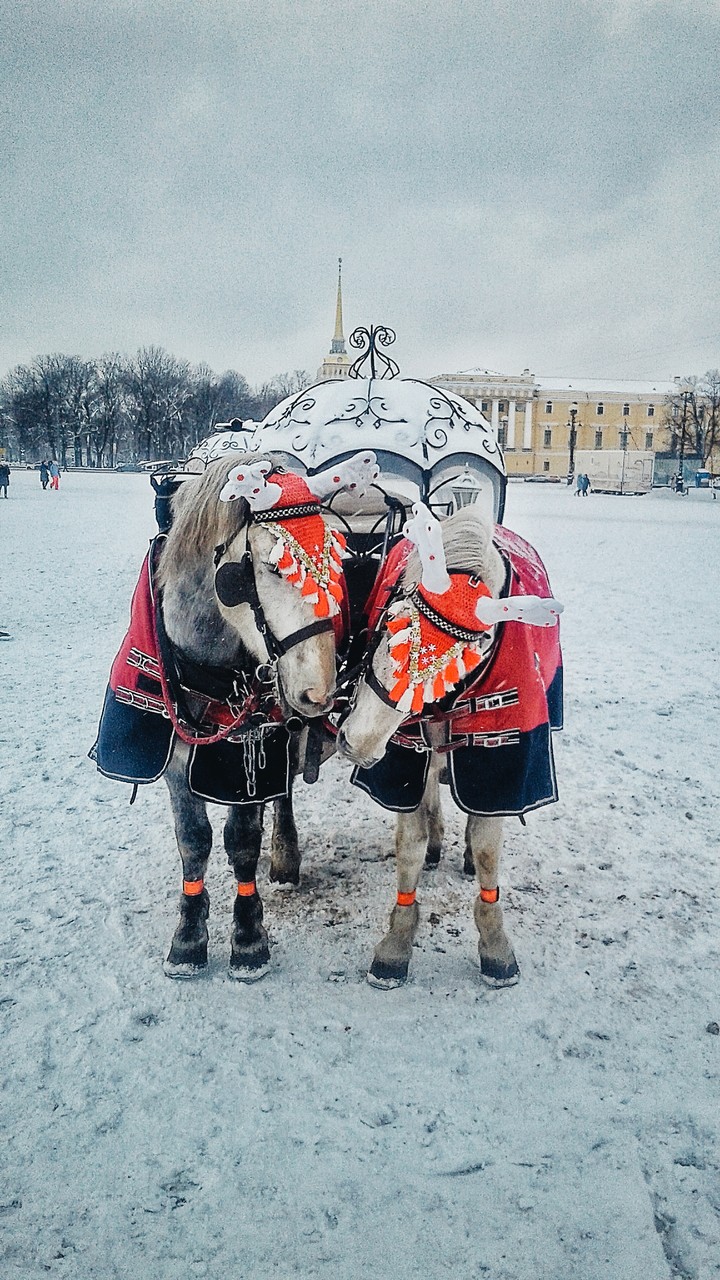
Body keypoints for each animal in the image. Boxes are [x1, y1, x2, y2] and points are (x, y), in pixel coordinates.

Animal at [336, 504, 563, 989]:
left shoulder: (501, 753)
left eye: (462, 662)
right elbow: (411, 840)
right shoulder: (404, 751)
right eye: (389, 623)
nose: (358, 742)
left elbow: (487, 845)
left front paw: (495, 946)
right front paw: (397, 943)